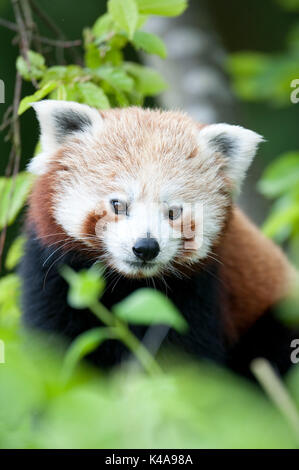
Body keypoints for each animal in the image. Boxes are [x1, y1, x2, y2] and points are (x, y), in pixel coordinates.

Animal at [19, 101, 298, 376]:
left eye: (173, 212)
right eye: (118, 205)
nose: (146, 247)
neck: (126, 286)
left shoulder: (198, 296)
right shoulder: (54, 278)